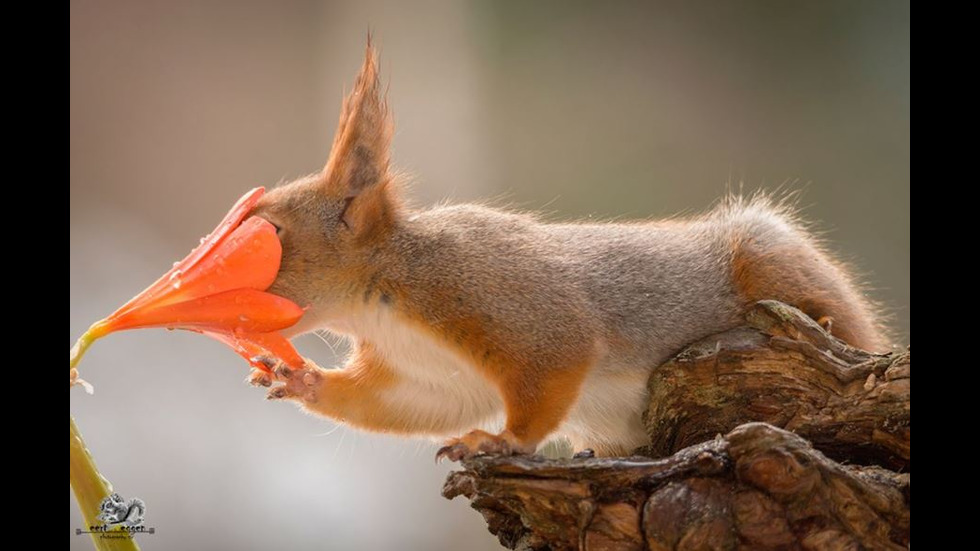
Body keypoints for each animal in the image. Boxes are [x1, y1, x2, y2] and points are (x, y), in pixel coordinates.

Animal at [247, 44, 888, 462]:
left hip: (767, 260)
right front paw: (301, 380)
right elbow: (407, 406)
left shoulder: (497, 294)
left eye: (272, 233)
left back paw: (833, 327)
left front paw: (504, 440)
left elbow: (557, 361)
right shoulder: (425, 375)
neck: (380, 294)